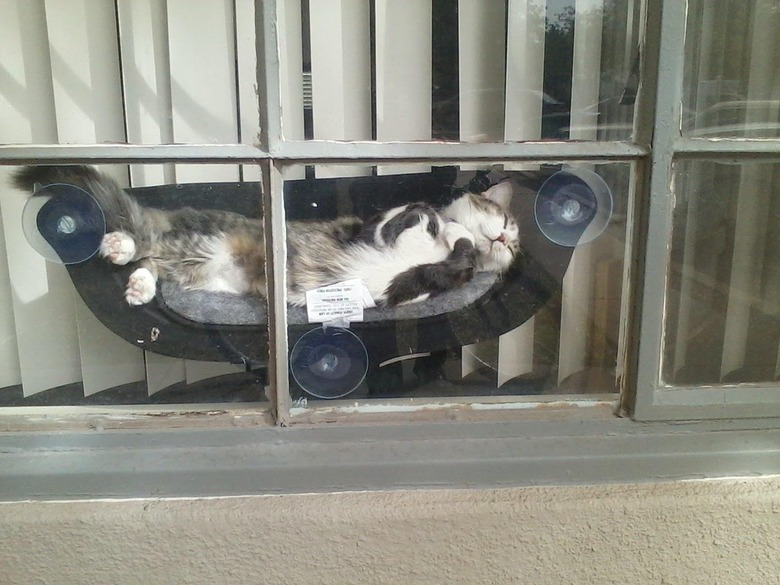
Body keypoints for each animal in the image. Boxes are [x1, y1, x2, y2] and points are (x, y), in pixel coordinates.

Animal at [12, 164, 520, 308]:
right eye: (506, 223)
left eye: (515, 245)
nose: (505, 240)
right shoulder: (377, 226)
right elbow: (413, 220)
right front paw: (444, 222)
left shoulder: (412, 287)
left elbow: (445, 261)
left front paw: (455, 237)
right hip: (199, 236)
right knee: (148, 241)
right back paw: (121, 246)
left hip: (202, 273)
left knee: (156, 262)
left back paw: (137, 283)